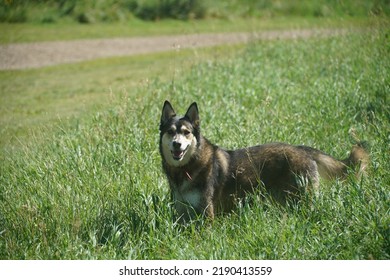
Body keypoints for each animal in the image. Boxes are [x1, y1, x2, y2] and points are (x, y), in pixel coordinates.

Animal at [158, 100, 368, 223]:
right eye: (171, 132)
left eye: (186, 132)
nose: (177, 144)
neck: (185, 169)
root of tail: (301, 148)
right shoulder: (182, 213)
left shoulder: (206, 213)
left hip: (302, 199)